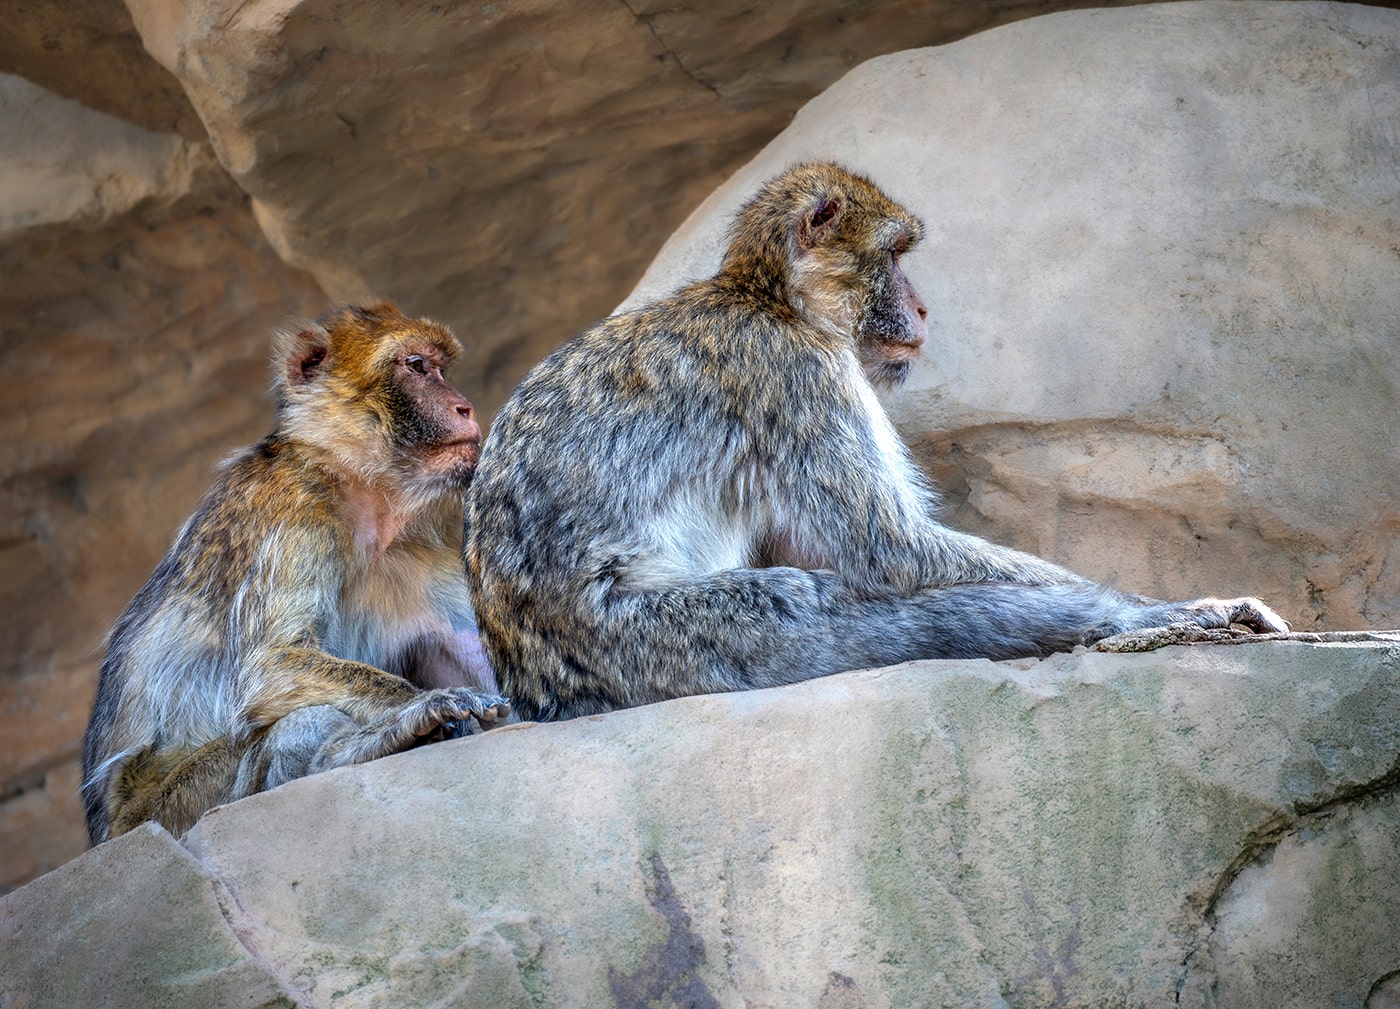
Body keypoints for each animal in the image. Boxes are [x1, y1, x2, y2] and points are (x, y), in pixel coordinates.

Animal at [80, 299, 509, 839]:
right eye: (416, 367)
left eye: (441, 369)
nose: (464, 407)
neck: (358, 490)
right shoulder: (292, 511)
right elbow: (270, 667)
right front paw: (420, 705)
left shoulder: (424, 545)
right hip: (167, 809)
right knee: (302, 722)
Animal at [470, 161, 1288, 722]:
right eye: (894, 255)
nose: (923, 307)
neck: (772, 301)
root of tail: (535, 687)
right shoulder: (800, 375)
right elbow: (890, 552)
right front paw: (1153, 606)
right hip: (660, 644)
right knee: (832, 607)